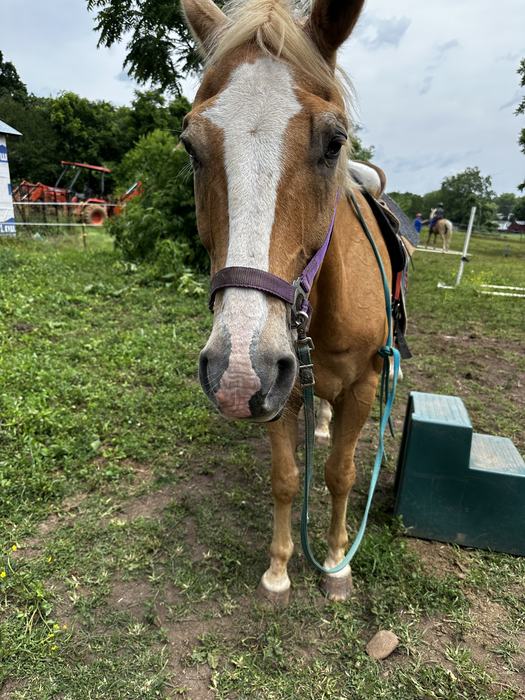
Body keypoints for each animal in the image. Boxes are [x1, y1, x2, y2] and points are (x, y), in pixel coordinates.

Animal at [181, 0, 395, 604]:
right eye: (190, 146)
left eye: (334, 142)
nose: (235, 371)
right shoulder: (280, 388)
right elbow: (285, 479)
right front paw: (278, 568)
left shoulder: (363, 384)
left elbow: (341, 474)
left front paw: (337, 563)